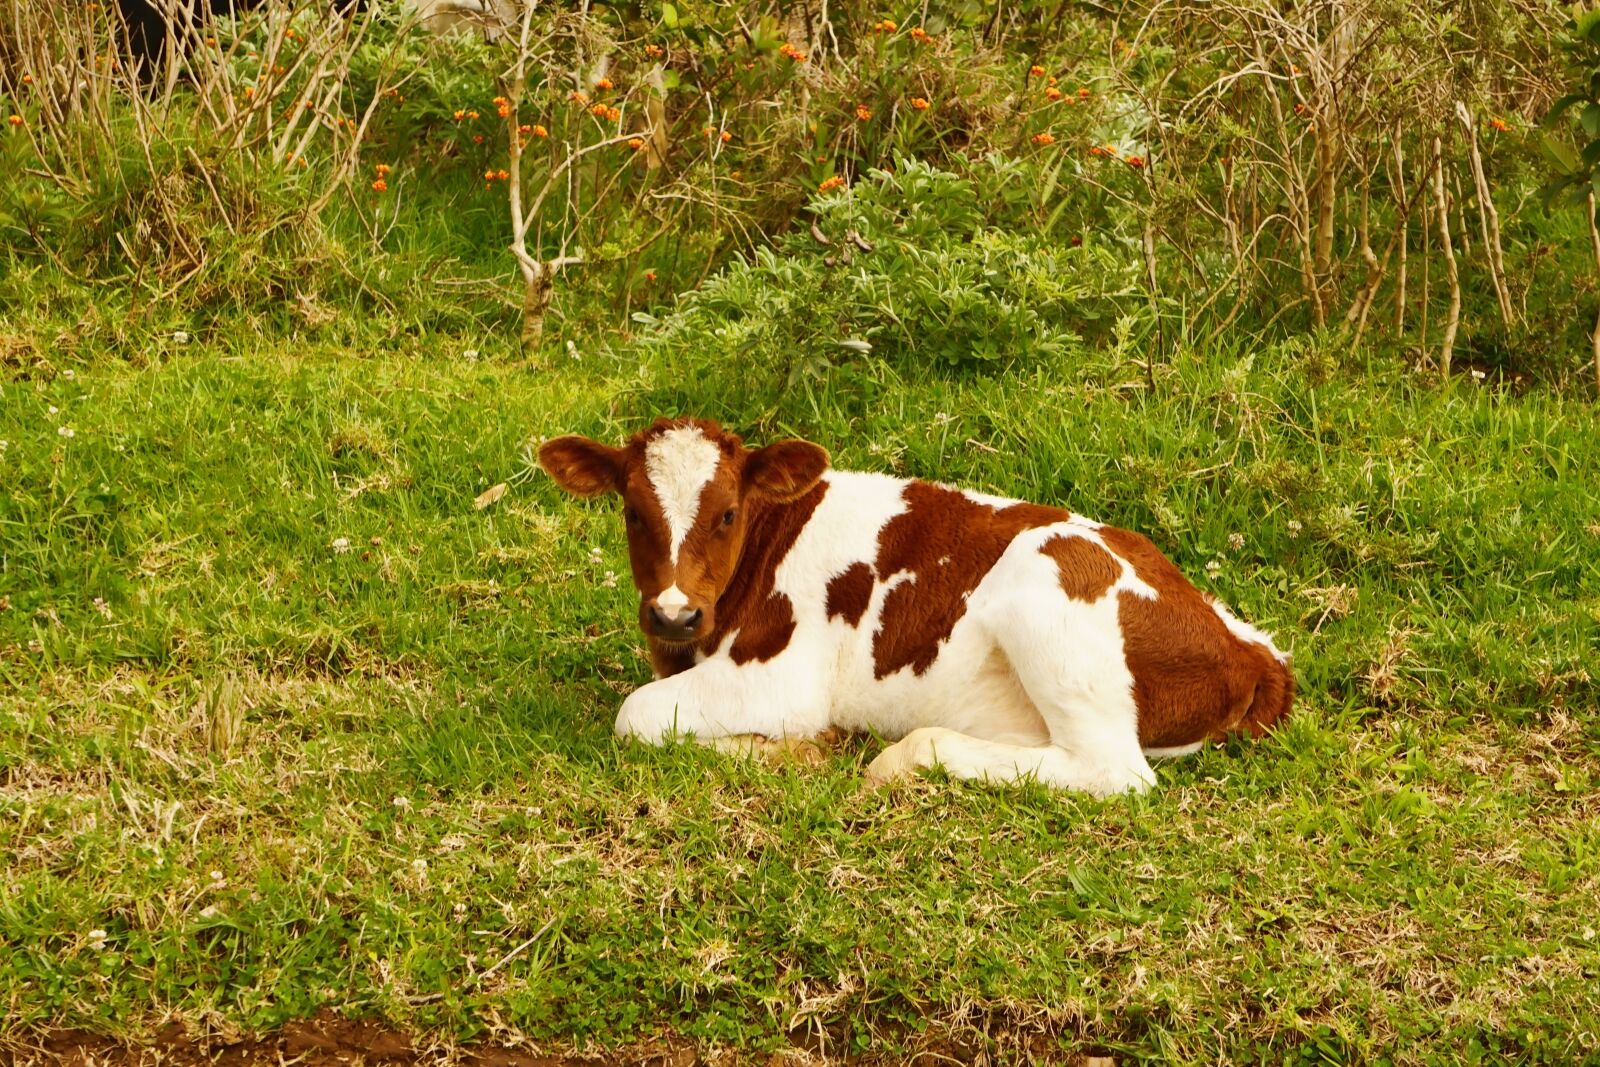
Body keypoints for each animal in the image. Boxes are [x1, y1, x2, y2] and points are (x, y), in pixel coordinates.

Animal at [534, 415, 1286, 793]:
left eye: (725, 514)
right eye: (632, 510)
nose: (673, 613)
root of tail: (1248, 647)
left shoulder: (781, 678)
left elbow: (633, 715)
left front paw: (799, 749)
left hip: (1046, 591)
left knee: (1113, 772)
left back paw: (896, 759)